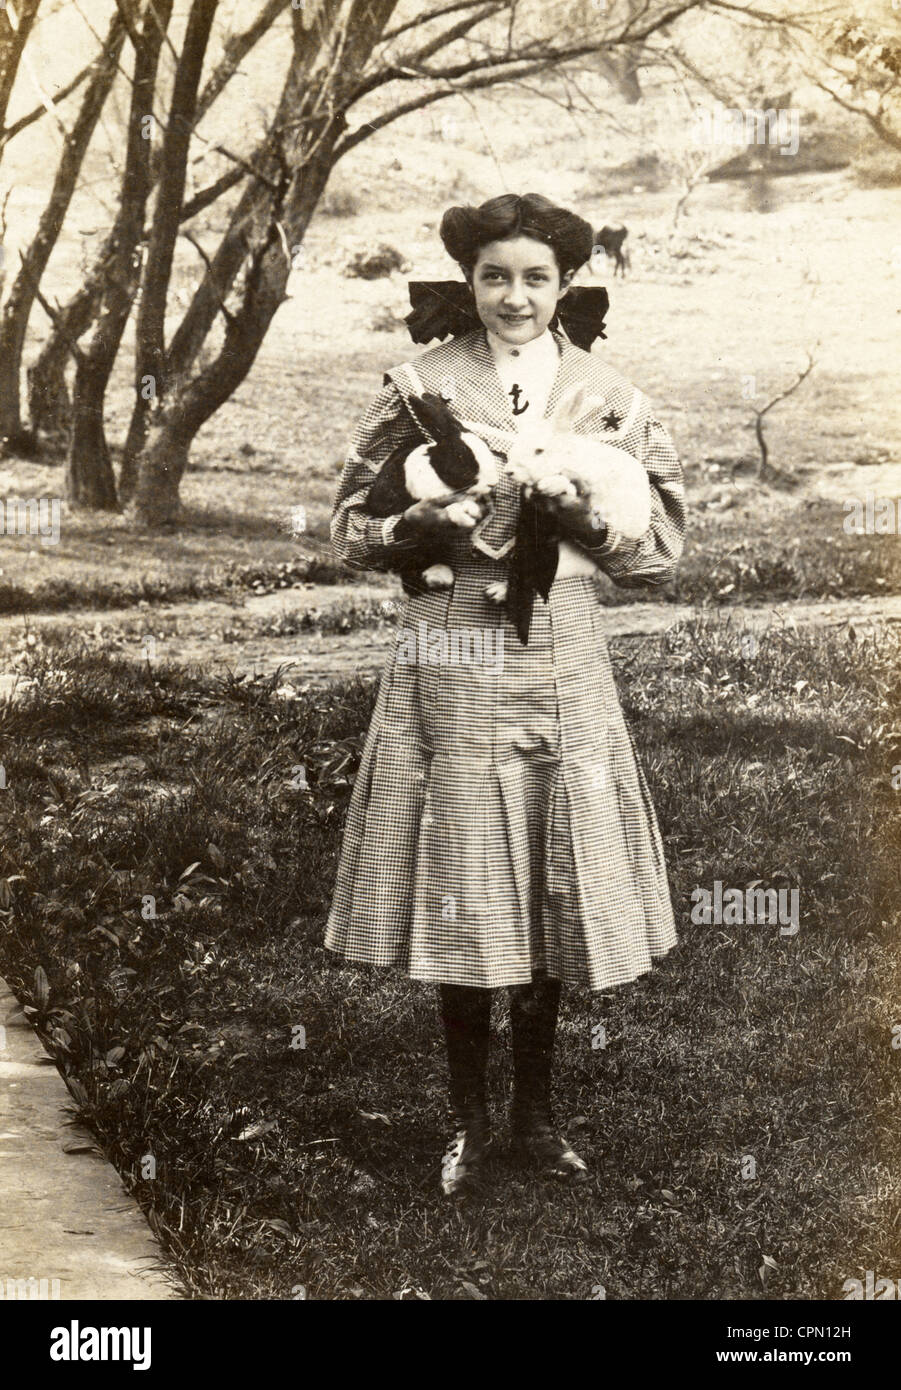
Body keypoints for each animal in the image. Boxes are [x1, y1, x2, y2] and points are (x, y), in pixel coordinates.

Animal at [364, 389, 500, 594]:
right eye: (462, 459)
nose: (492, 483)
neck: (437, 470)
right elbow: (453, 509)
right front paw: (465, 515)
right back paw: (440, 577)